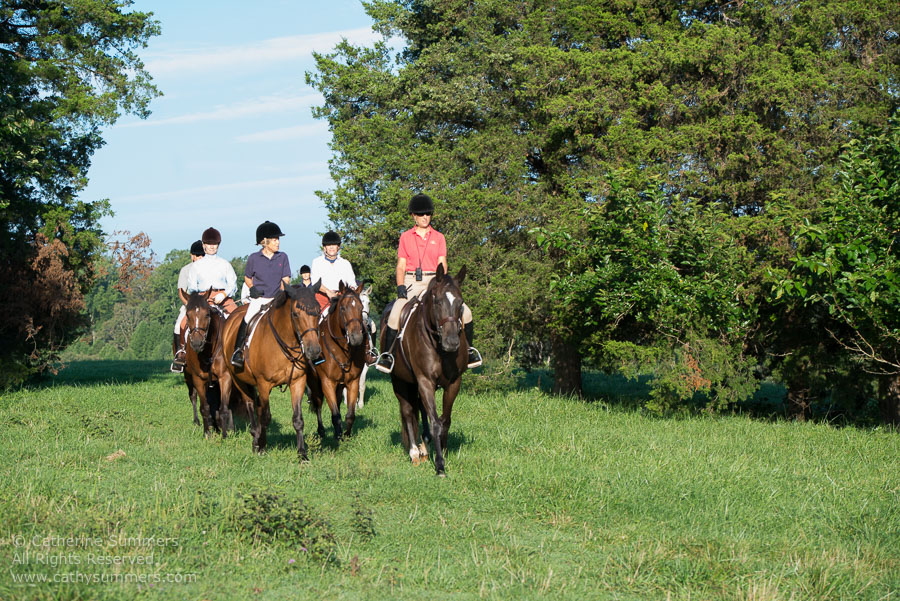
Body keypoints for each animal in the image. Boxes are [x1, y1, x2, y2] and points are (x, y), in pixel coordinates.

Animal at [183, 288, 229, 434]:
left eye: (207, 314)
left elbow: (223, 407)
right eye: (187, 315)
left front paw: (225, 433)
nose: (197, 343)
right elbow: (205, 407)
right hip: (188, 377)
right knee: (193, 396)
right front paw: (207, 433)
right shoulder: (198, 379)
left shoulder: (225, 377)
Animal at [214, 282, 324, 460]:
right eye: (295, 314)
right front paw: (261, 446)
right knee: (250, 404)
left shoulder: (297, 382)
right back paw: (255, 437)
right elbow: (265, 416)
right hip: (237, 379)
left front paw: (302, 454)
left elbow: (298, 419)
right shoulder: (264, 384)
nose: (313, 351)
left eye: (318, 312)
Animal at [308, 280, 368, 440]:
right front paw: (338, 436)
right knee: (318, 403)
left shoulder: (352, 382)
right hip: (314, 381)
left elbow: (350, 414)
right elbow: (335, 415)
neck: (341, 350)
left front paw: (346, 436)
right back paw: (321, 431)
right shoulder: (327, 382)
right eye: (343, 308)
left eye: (361, 307)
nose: (356, 338)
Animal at [378, 264, 468, 476]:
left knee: (419, 409)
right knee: (408, 411)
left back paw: (425, 449)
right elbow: (435, 422)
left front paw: (442, 451)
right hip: (399, 381)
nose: (452, 342)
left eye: (460, 302)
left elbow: (445, 420)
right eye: (437, 301)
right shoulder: (425, 381)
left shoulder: (453, 383)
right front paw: (440, 465)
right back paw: (414, 453)